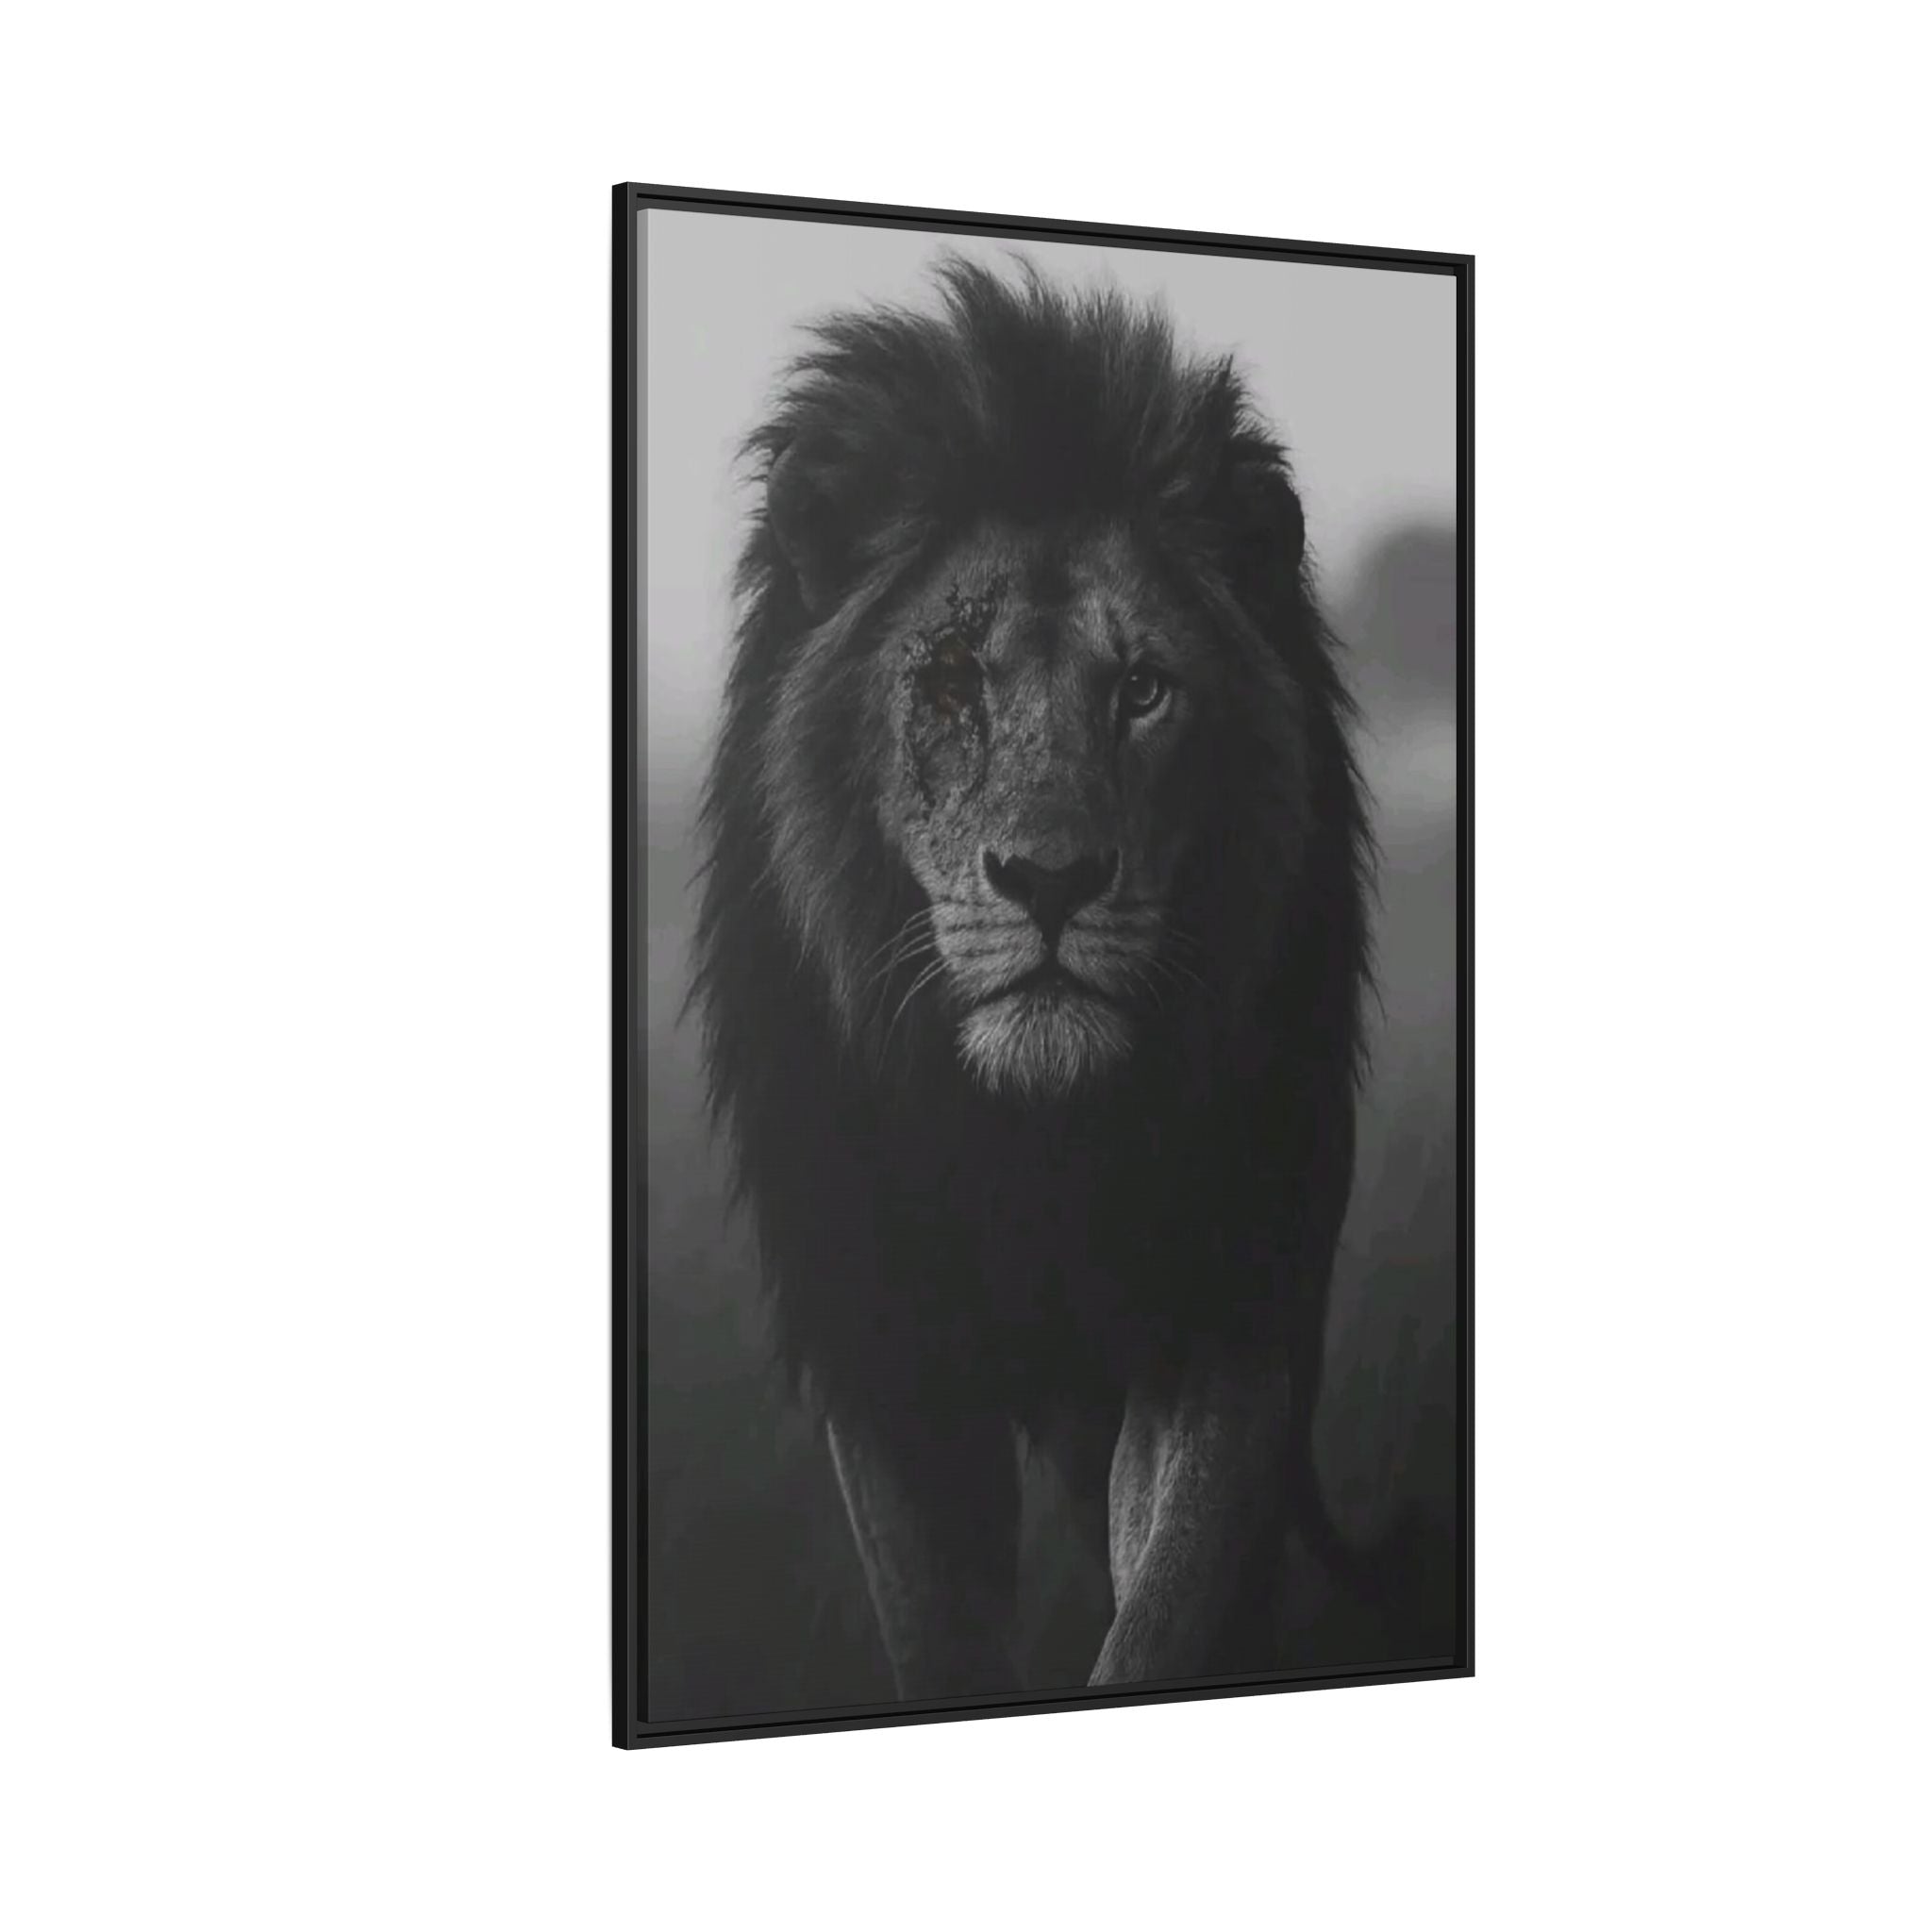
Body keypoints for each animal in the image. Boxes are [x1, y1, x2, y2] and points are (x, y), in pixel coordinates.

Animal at [692, 256, 1391, 1700]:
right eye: (955, 682)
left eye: (1143, 690)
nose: (1052, 879)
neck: (1033, 1141)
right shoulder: (888, 1355)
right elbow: (938, 1636)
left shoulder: (1221, 1311)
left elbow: (1170, 1603)